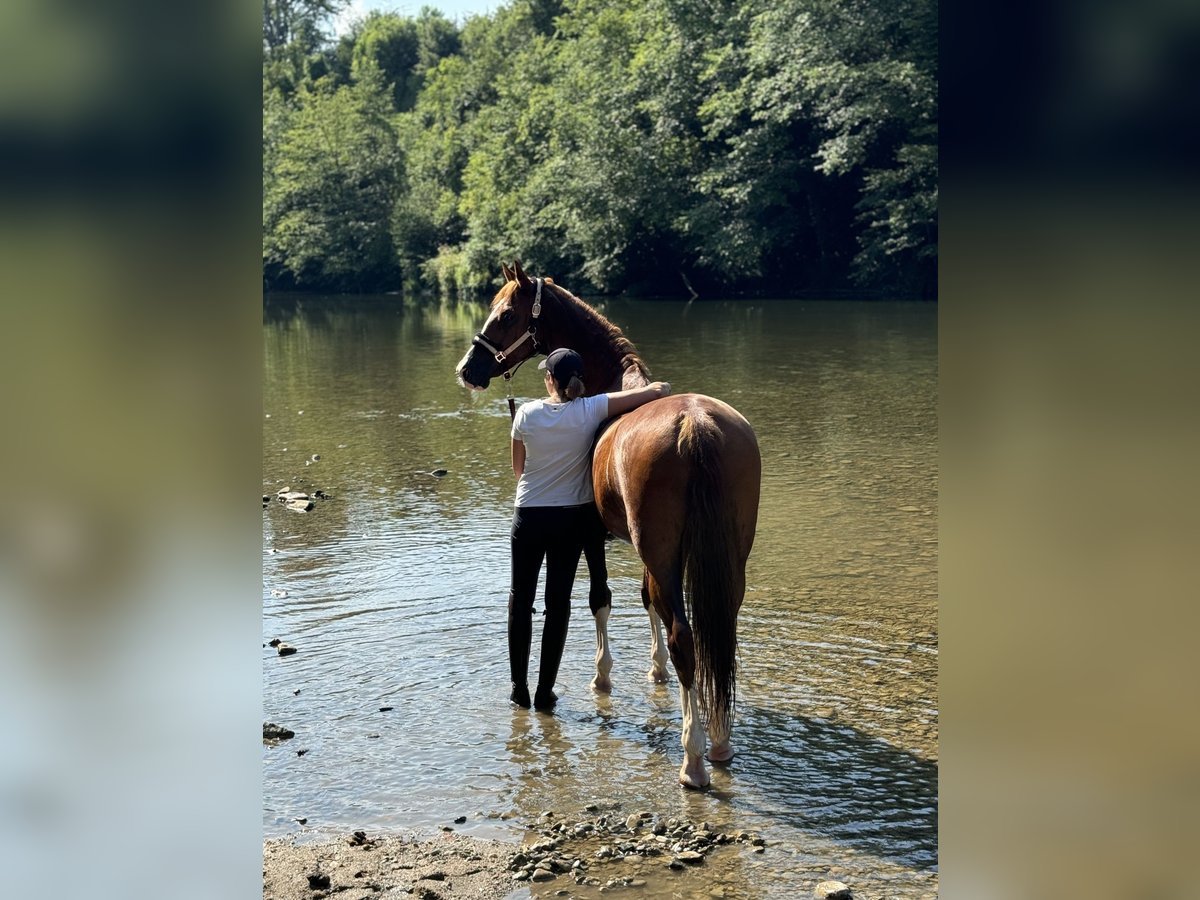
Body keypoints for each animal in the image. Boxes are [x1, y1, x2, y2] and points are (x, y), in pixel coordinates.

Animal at [451, 260, 758, 787]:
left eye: (506, 314)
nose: (468, 370)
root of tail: (696, 424)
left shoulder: (592, 535)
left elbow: (601, 599)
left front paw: (603, 675)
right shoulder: (654, 553)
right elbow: (647, 599)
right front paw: (654, 670)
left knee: (686, 637)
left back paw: (693, 758)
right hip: (726, 557)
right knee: (717, 631)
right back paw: (719, 741)